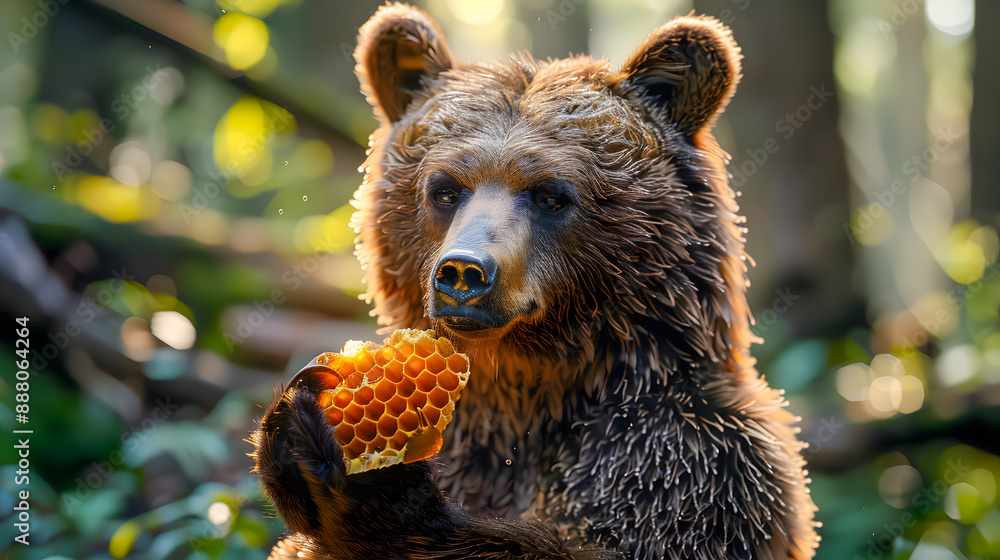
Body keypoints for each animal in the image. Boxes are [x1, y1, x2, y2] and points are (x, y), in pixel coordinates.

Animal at [251, 3, 819, 559]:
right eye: (445, 189)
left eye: (551, 194)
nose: (463, 273)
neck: (532, 389)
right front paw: (289, 432)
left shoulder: (679, 464)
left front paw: (377, 488)